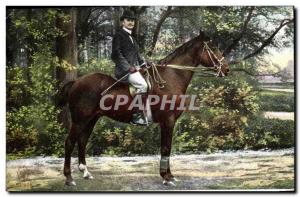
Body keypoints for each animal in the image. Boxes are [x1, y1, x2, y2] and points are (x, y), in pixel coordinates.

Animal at [58, 31, 230, 186]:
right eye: (213, 47)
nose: (227, 69)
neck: (171, 77)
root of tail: (76, 82)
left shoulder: (169, 122)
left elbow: (167, 148)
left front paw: (170, 176)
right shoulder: (168, 121)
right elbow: (166, 148)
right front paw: (166, 178)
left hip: (91, 119)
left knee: (82, 140)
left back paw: (86, 173)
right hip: (80, 120)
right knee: (69, 142)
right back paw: (69, 178)